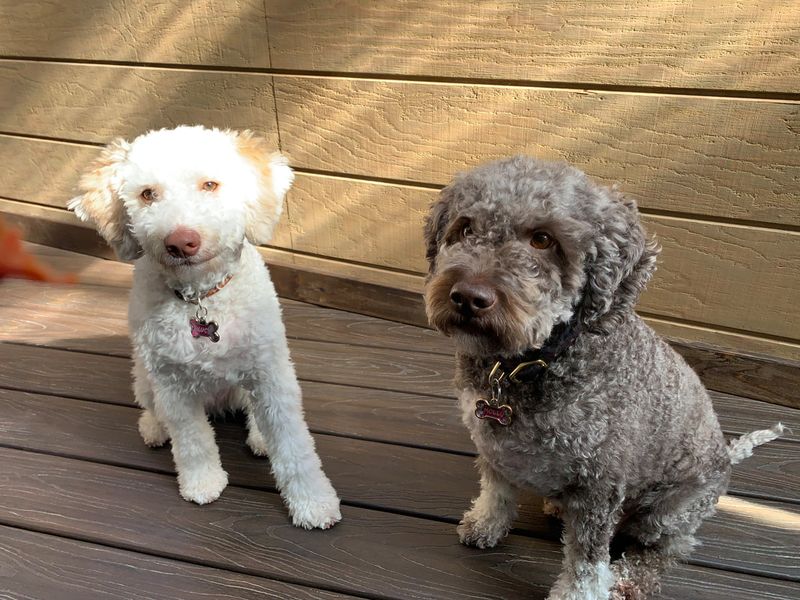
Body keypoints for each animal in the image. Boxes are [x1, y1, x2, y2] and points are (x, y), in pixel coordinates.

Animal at [69, 124, 340, 528]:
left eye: (210, 185)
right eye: (147, 194)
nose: (181, 242)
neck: (200, 297)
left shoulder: (270, 374)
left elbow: (294, 446)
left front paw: (313, 502)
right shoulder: (171, 384)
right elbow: (192, 440)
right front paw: (203, 483)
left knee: (256, 414)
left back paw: (260, 437)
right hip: (143, 375)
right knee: (151, 407)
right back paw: (154, 428)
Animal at [422, 156, 784, 600]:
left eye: (543, 239)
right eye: (466, 228)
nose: (468, 297)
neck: (526, 365)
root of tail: (727, 456)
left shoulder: (600, 484)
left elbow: (586, 561)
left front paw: (576, 594)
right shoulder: (494, 448)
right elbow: (497, 491)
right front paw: (486, 524)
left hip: (669, 511)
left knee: (666, 549)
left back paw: (630, 578)